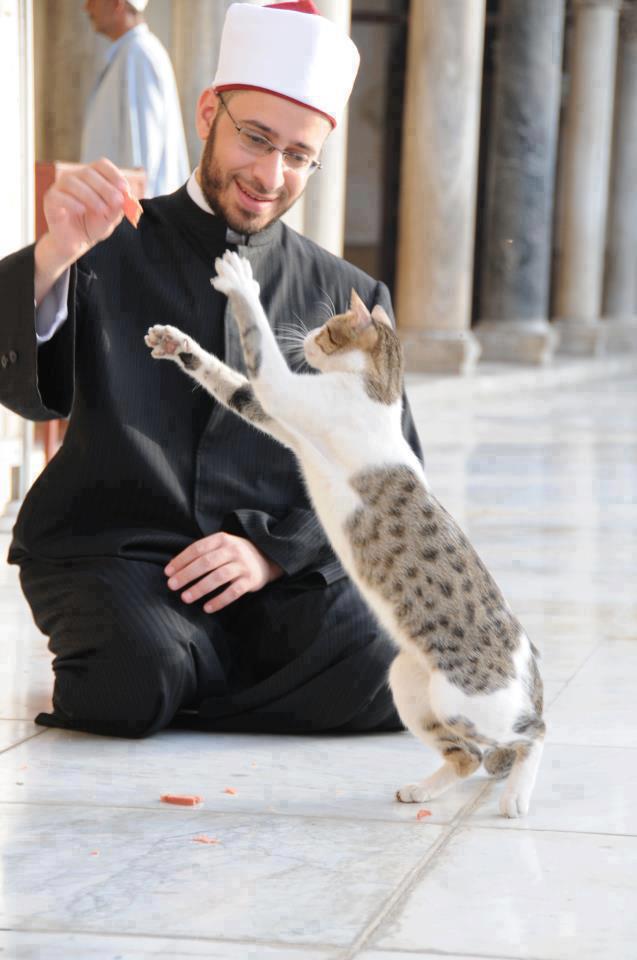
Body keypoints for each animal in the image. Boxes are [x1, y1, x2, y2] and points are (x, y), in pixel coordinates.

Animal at [144, 248, 540, 816]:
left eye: (331, 329)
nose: (308, 336)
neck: (378, 396)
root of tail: (530, 666)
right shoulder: (278, 414)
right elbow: (234, 383)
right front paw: (177, 343)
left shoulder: (289, 394)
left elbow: (258, 348)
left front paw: (241, 283)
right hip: (411, 685)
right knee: (467, 755)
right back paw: (422, 789)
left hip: (471, 703)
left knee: (530, 736)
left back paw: (516, 795)